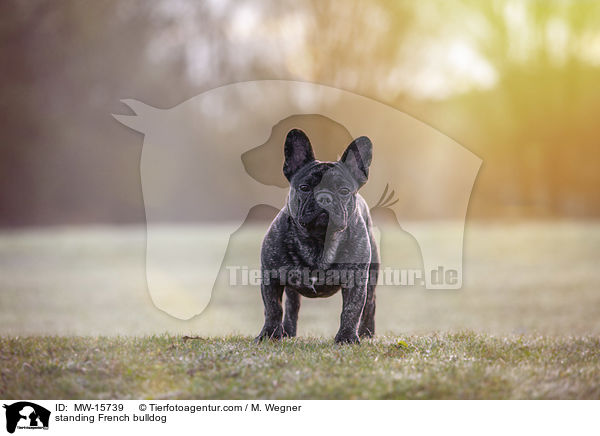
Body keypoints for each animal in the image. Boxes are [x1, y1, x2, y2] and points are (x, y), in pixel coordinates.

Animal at [254, 129, 378, 344]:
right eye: (305, 188)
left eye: (344, 190)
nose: (324, 196)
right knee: (291, 306)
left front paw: (346, 338)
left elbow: (352, 310)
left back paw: (367, 333)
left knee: (370, 305)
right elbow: (273, 308)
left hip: (371, 277)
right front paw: (269, 335)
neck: (318, 241)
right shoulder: (271, 277)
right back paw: (287, 332)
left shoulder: (356, 280)